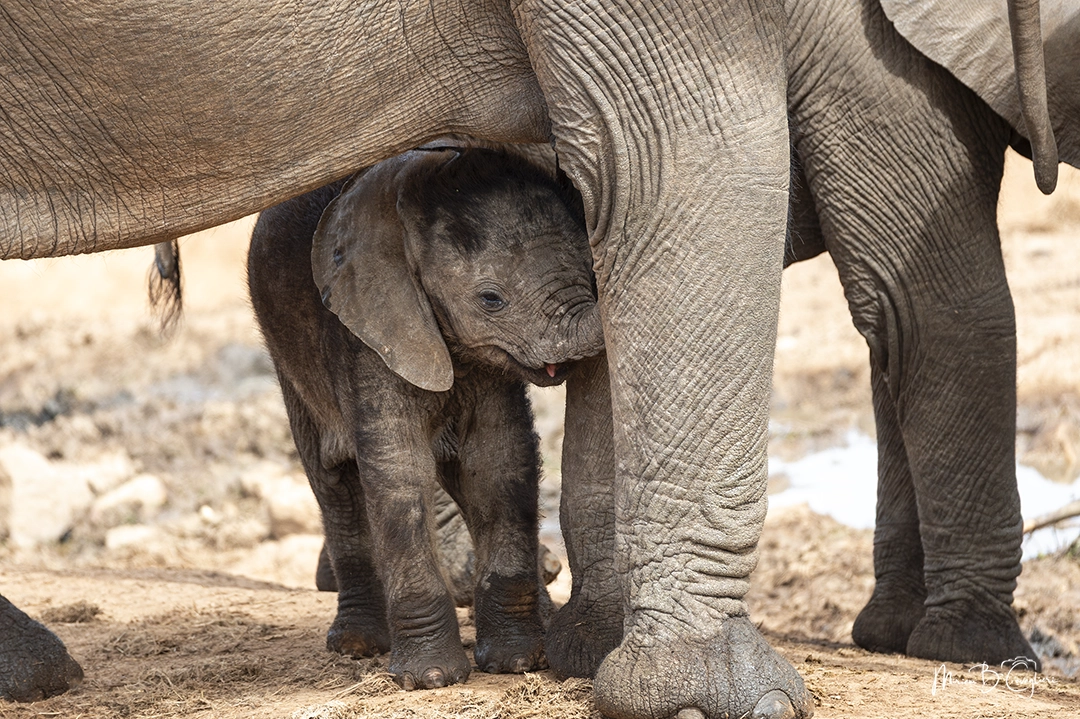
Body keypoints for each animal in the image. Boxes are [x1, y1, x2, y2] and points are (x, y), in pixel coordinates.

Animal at [247, 145, 602, 688]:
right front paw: (432, 677)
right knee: (335, 487)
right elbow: (398, 472)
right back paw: (357, 645)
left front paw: (518, 661)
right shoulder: (365, 337)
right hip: (288, 360)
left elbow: (497, 464)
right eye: (491, 299)